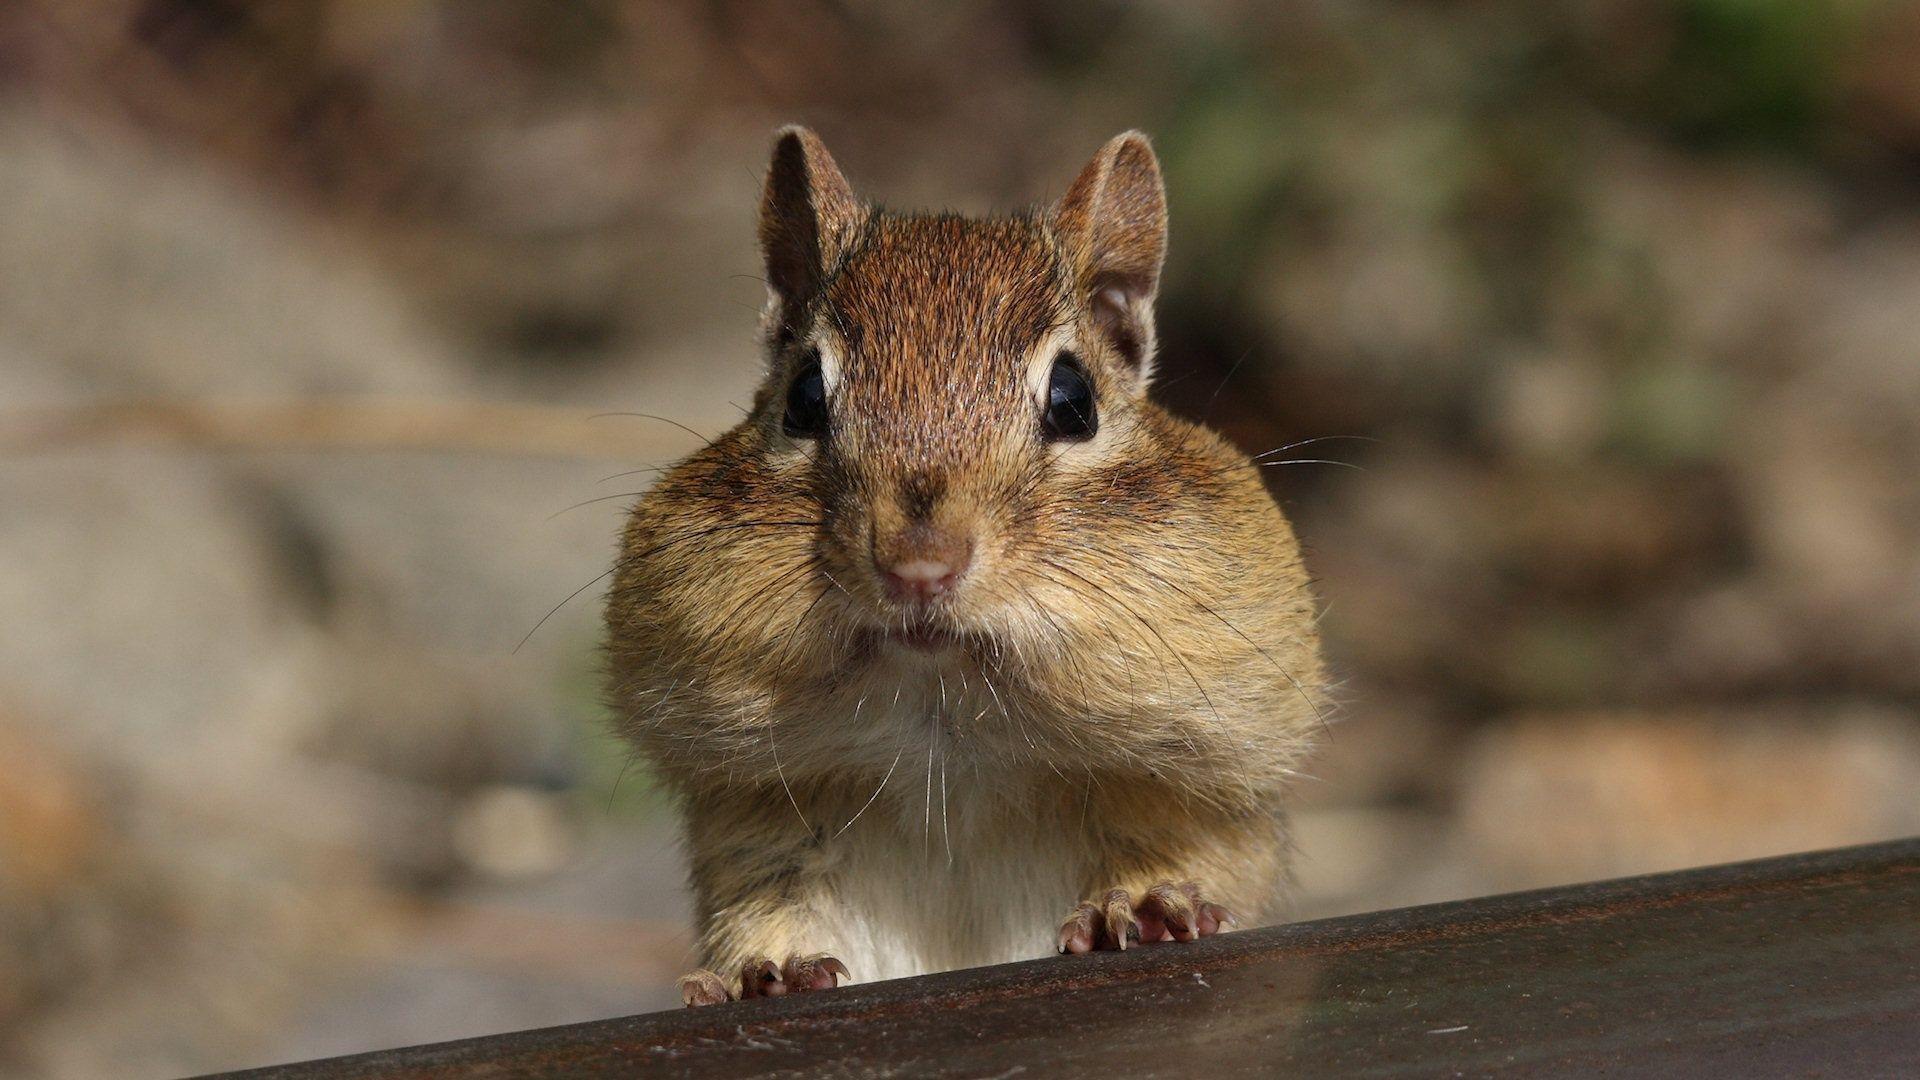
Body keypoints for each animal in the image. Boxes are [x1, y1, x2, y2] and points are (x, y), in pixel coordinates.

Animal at [603, 126, 1325, 1006]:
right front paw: (762, 972)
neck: (948, 734)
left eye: (1074, 399)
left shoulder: (1197, 789)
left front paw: (1145, 906)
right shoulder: (760, 828)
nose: (919, 568)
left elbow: (1188, 856)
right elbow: (769, 907)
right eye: (804, 396)